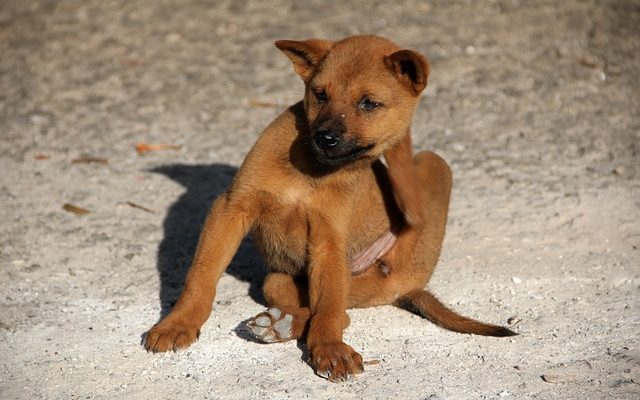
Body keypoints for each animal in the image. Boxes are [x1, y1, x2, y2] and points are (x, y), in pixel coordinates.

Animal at [144, 35, 516, 382]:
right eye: (320, 95)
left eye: (369, 103)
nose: (325, 138)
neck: (311, 171)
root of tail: (409, 286)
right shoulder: (231, 208)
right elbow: (201, 276)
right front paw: (178, 323)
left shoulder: (328, 241)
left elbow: (328, 310)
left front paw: (329, 349)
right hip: (279, 280)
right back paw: (279, 322)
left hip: (430, 167)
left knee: (339, 311)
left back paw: (281, 324)